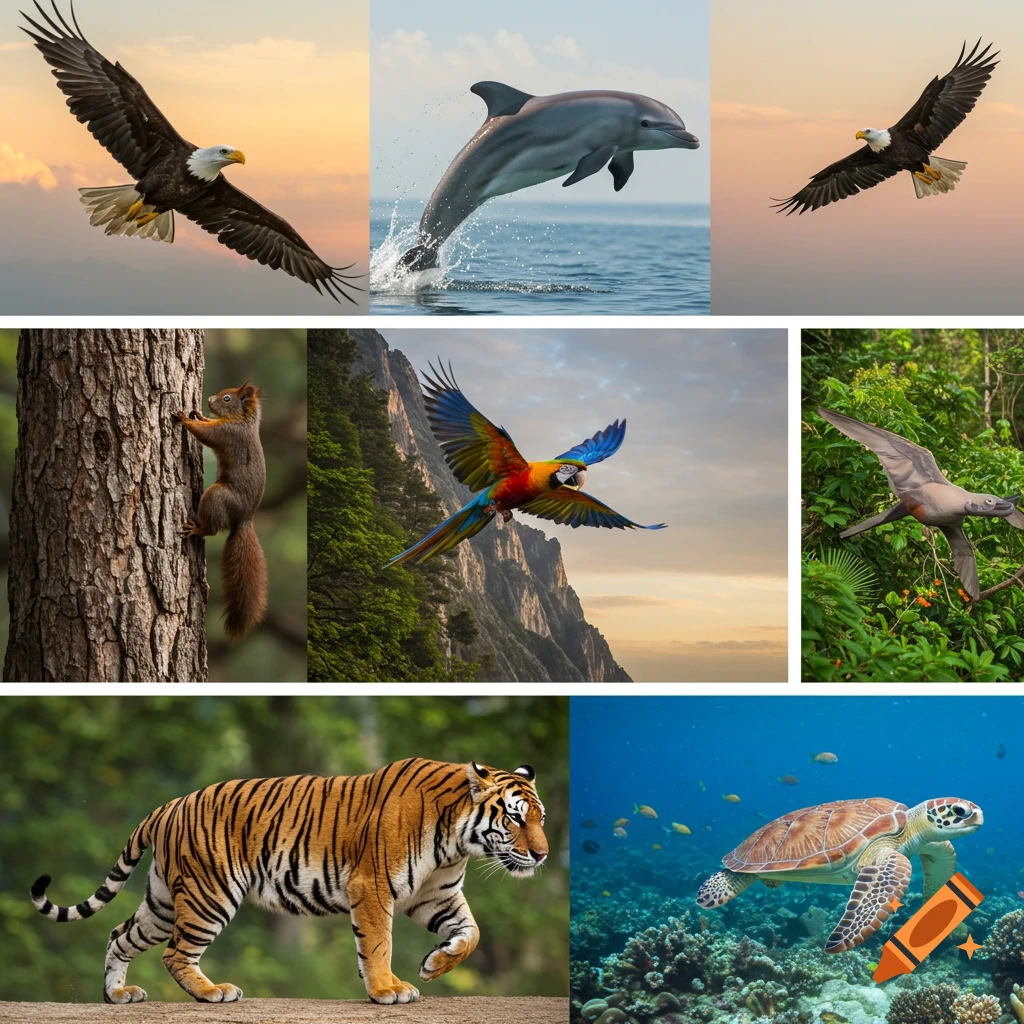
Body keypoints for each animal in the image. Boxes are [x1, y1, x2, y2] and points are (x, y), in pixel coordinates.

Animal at [29, 758, 548, 1005]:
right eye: (515, 819)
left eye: (539, 818)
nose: (542, 854)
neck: (456, 841)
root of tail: (170, 805)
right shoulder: (373, 887)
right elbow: (378, 943)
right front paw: (387, 989)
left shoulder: (436, 895)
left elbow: (471, 934)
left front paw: (435, 964)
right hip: (209, 896)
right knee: (175, 953)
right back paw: (213, 993)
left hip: (163, 902)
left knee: (119, 935)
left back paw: (116, 995)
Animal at [176, 379, 267, 643]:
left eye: (227, 399)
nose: (208, 400)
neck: (243, 421)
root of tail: (244, 519)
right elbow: (208, 425)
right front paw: (199, 415)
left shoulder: (227, 433)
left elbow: (206, 434)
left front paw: (186, 419)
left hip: (216, 496)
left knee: (212, 529)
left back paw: (196, 529)